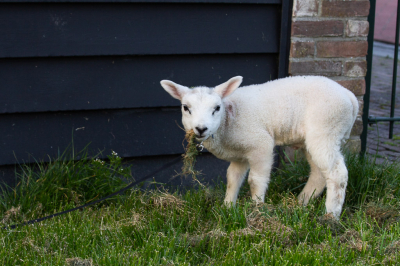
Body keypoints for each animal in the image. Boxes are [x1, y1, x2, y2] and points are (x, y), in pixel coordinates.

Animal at [161, 75, 358, 218]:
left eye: (217, 108)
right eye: (186, 108)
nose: (201, 129)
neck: (229, 119)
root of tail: (350, 97)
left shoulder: (260, 144)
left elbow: (256, 180)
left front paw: (256, 209)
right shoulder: (239, 155)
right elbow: (232, 179)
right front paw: (227, 207)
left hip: (326, 129)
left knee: (337, 174)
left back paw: (331, 216)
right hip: (313, 139)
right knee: (319, 174)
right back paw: (301, 203)